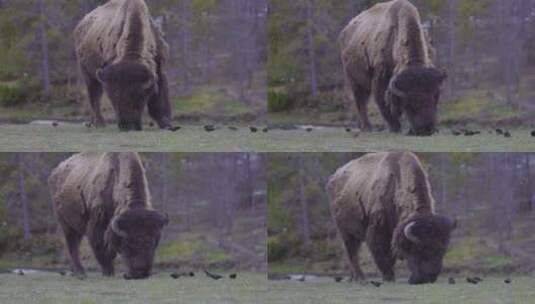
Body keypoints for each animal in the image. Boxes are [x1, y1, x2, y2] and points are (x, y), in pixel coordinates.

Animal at [74, 0, 172, 131]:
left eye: (139, 96)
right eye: (113, 99)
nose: (127, 126)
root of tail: (80, 25)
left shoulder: (159, 67)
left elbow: (160, 95)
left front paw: (166, 123)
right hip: (88, 74)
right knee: (94, 97)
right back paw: (100, 123)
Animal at [326, 152, 456, 284]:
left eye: (443, 250)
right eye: (420, 248)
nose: (429, 277)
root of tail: (333, 178)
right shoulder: (378, 230)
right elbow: (382, 254)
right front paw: (389, 277)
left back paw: (353, 278)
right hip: (346, 232)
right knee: (352, 253)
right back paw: (360, 278)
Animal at [340, 0, 448, 135]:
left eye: (435, 97)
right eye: (409, 103)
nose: (426, 129)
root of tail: (346, 32)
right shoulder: (380, 78)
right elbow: (383, 102)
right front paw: (395, 128)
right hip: (355, 81)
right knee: (360, 102)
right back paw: (367, 127)